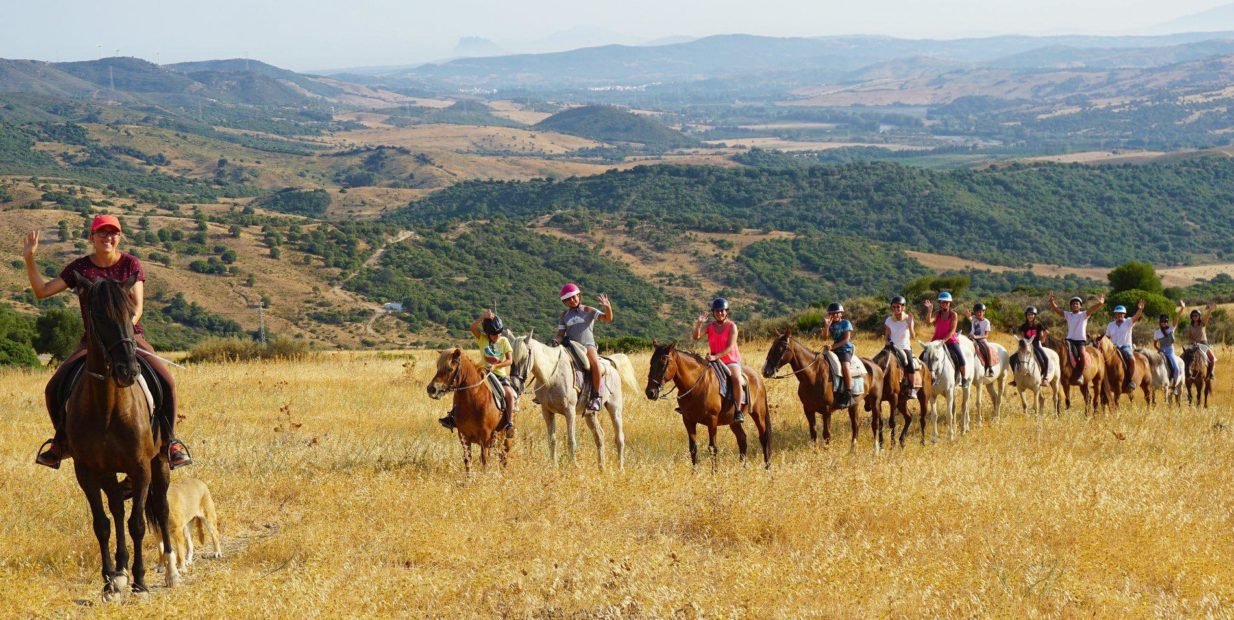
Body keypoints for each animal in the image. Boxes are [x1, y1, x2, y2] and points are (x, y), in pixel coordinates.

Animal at [66, 276, 178, 600]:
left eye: (131, 313)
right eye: (99, 316)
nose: (128, 370)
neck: (107, 406)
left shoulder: (141, 467)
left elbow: (137, 523)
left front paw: (140, 582)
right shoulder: (87, 470)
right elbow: (102, 523)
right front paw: (110, 581)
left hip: (160, 462)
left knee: (162, 508)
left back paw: (171, 571)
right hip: (109, 473)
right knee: (116, 509)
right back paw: (120, 571)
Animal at [509, 333, 637, 469]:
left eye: (524, 358)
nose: (515, 386)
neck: (552, 377)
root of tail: (610, 366)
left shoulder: (569, 411)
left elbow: (571, 440)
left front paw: (573, 466)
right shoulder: (547, 411)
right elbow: (552, 440)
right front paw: (554, 466)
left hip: (615, 408)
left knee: (619, 438)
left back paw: (620, 468)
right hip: (590, 414)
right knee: (599, 436)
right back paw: (601, 467)